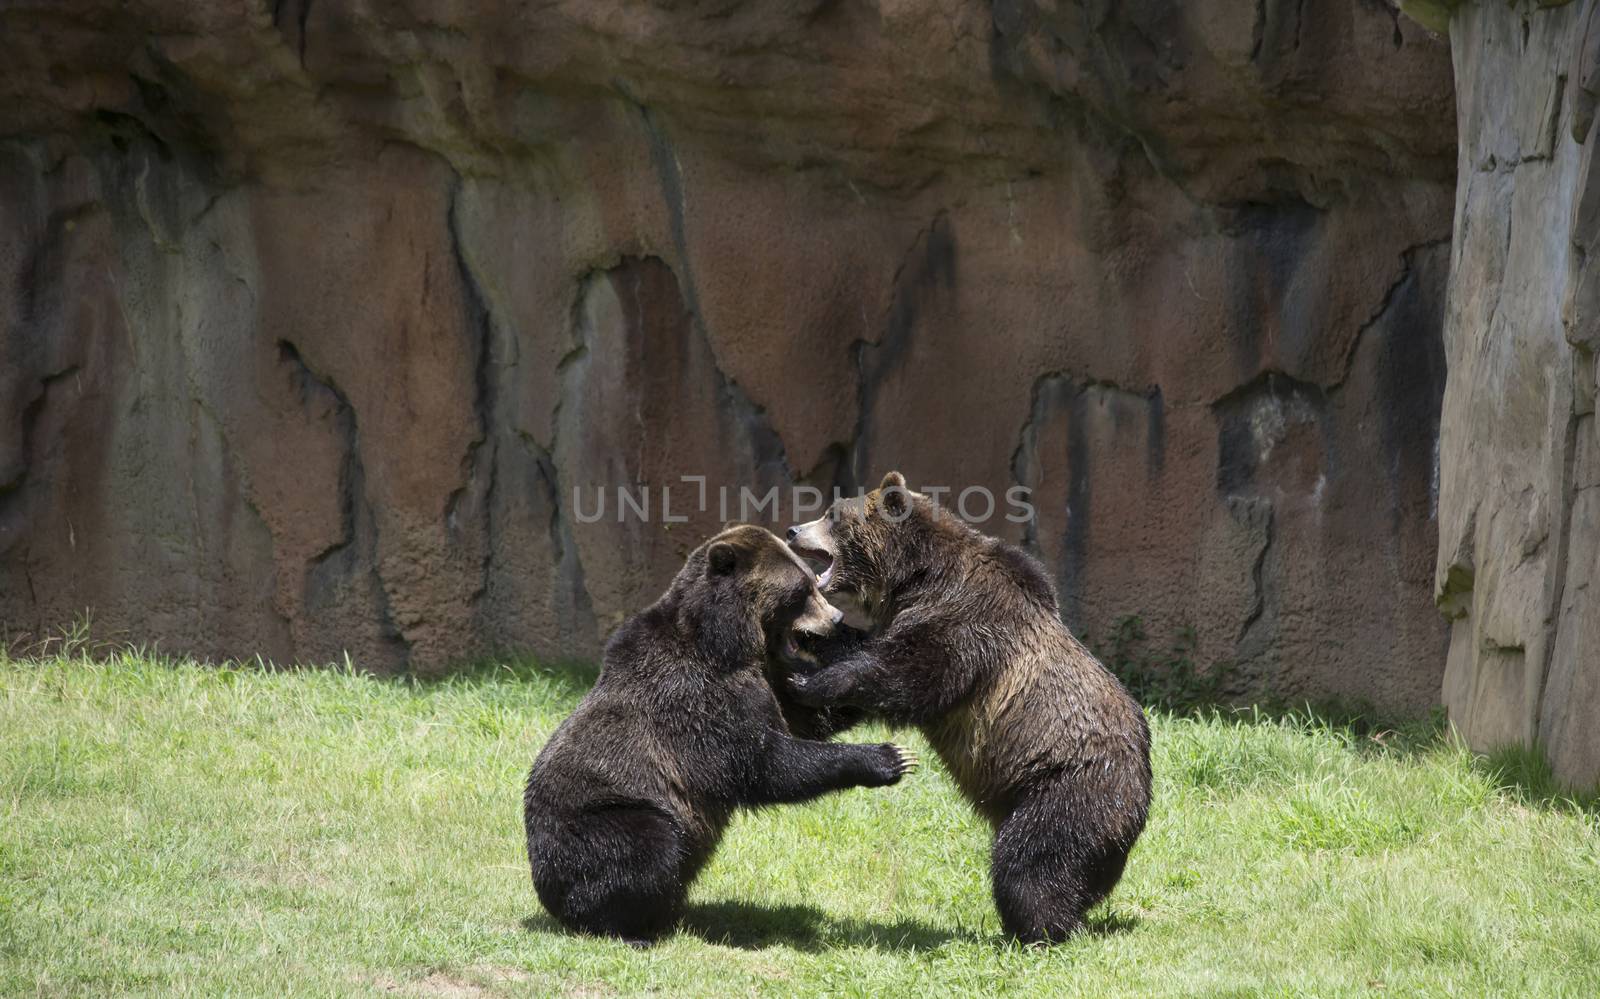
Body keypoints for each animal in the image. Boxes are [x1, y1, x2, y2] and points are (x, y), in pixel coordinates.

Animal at [524, 521, 921, 941]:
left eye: (813, 581)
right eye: (801, 589)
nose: (835, 619)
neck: (726, 644)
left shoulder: (764, 681)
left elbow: (804, 717)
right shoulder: (698, 701)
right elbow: (766, 763)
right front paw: (888, 757)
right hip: (602, 819)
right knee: (647, 845)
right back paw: (631, 926)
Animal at [787, 470, 1152, 941]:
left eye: (832, 514)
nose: (793, 530)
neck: (915, 577)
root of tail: (1142, 793)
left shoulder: (968, 622)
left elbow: (909, 676)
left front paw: (810, 682)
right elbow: (866, 653)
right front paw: (807, 634)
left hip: (1069, 787)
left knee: (1032, 860)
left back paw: (1037, 930)